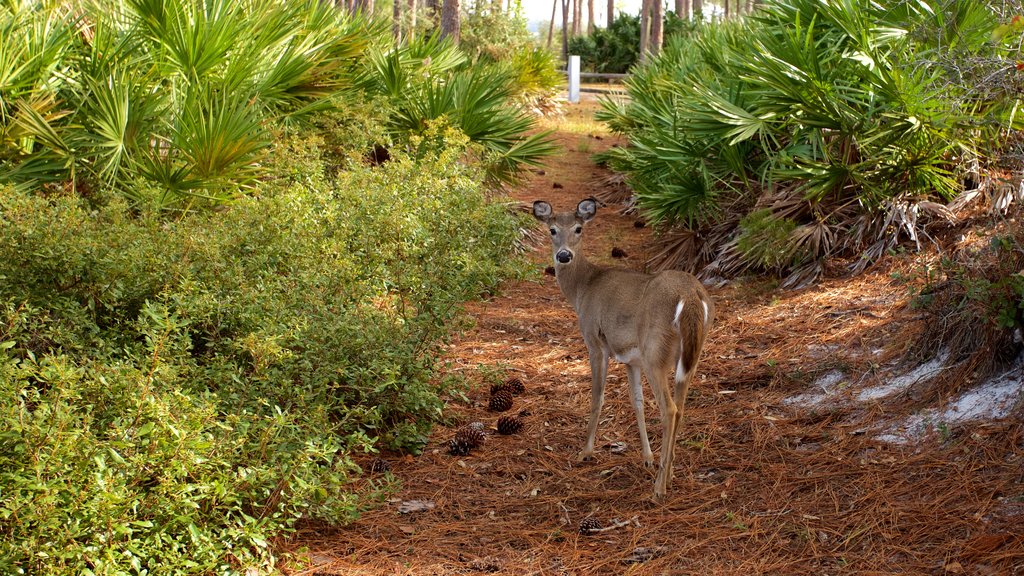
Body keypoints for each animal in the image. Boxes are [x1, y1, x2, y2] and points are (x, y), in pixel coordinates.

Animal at [532, 196, 716, 502]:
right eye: (552, 230)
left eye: (579, 228)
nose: (564, 256)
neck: (583, 288)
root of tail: (690, 296)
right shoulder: (632, 359)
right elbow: (637, 402)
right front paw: (647, 457)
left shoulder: (595, 341)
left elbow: (597, 396)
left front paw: (586, 451)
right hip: (692, 352)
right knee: (681, 405)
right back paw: (669, 471)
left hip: (656, 351)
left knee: (669, 409)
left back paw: (659, 488)